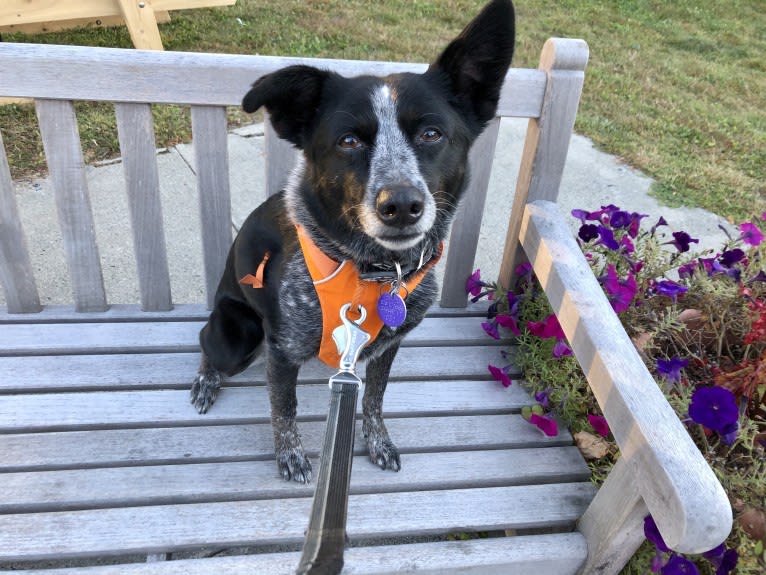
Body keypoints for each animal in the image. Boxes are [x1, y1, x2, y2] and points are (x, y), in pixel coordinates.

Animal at [191, 0, 516, 484]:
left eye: (431, 134)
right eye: (348, 141)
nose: (401, 205)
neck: (373, 270)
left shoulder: (387, 345)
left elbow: (374, 398)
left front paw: (377, 439)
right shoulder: (283, 350)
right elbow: (283, 409)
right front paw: (290, 455)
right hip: (238, 334)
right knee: (207, 345)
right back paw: (205, 380)